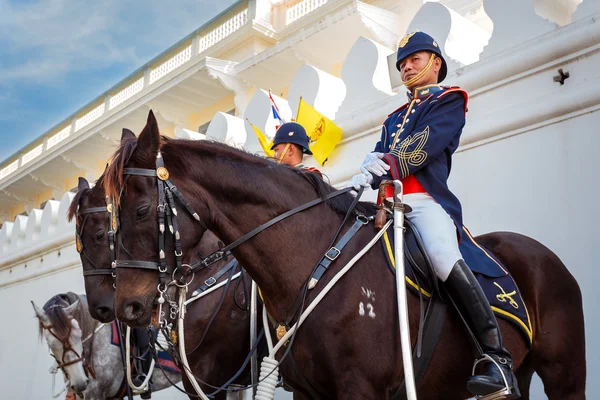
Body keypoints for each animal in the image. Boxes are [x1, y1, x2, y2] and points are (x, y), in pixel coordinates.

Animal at [105, 111, 584, 398]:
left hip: (563, 374)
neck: (313, 257)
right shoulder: (303, 391)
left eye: (141, 211)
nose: (125, 307)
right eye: (111, 219)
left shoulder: (360, 387)